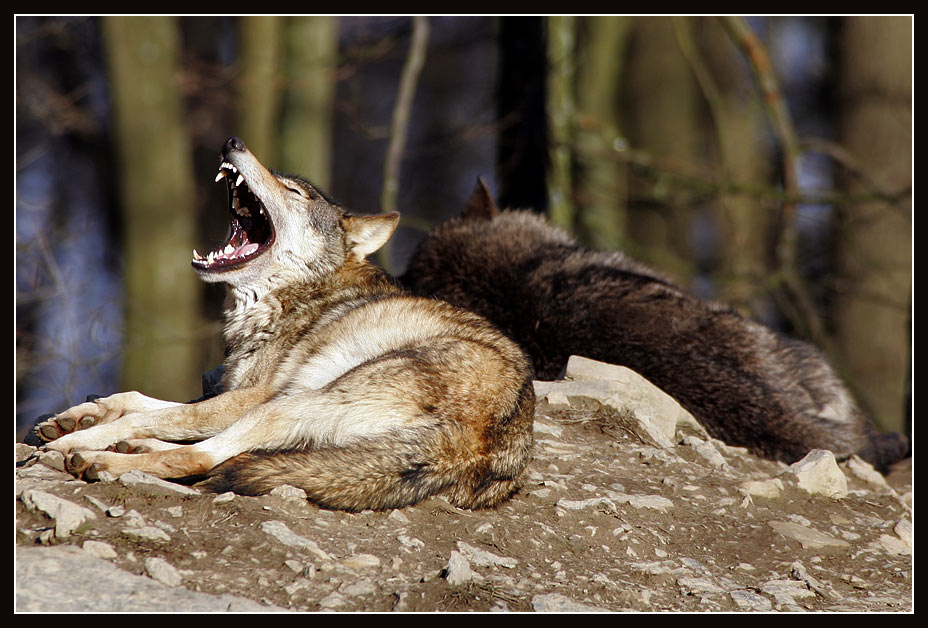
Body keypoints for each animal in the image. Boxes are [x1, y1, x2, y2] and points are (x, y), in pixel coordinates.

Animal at [32, 139, 536, 510]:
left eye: (295, 192)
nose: (232, 141)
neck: (286, 299)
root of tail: (478, 447)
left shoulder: (251, 397)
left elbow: (152, 414)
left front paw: (78, 436)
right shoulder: (232, 391)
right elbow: (137, 399)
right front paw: (77, 415)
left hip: (291, 403)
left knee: (200, 457)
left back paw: (98, 458)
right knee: (211, 451)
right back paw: (132, 450)